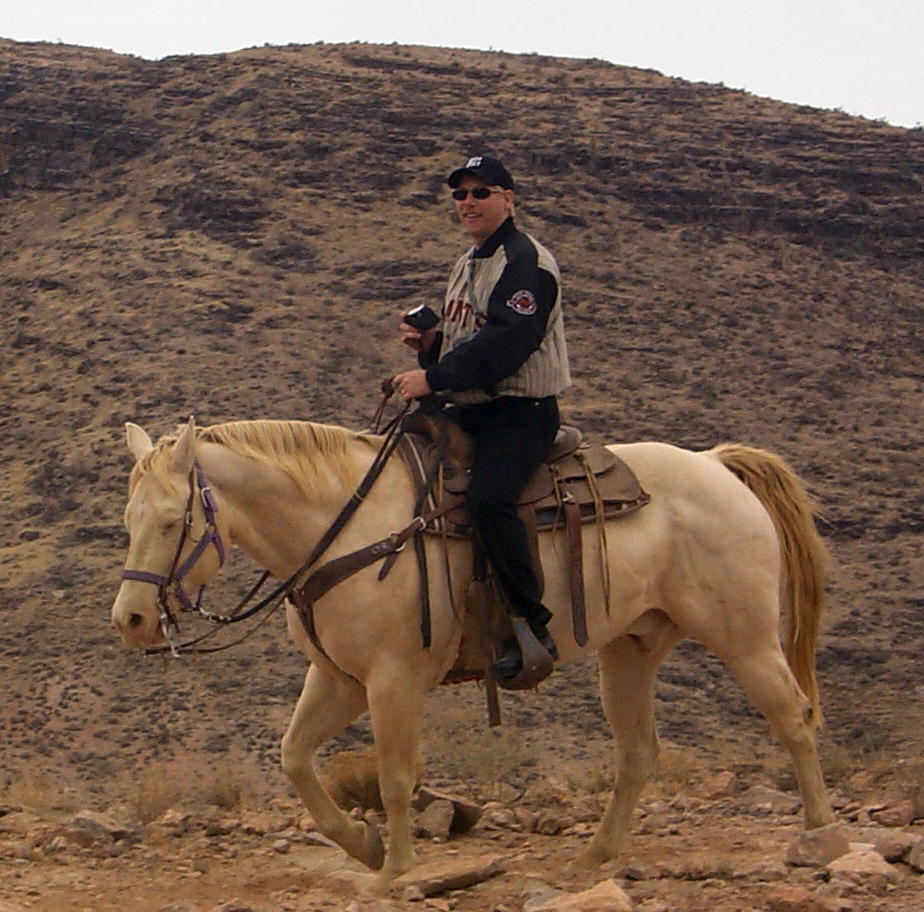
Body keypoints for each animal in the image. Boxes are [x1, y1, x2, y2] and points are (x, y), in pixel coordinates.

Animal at [112, 418, 832, 884]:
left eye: (174, 522)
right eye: (127, 519)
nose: (133, 618)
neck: (347, 527)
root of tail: (714, 463)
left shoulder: (393, 680)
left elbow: (396, 776)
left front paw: (397, 872)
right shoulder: (338, 679)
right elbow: (295, 759)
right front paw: (363, 846)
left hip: (742, 635)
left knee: (793, 718)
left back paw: (822, 837)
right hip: (631, 649)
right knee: (637, 754)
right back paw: (593, 859)